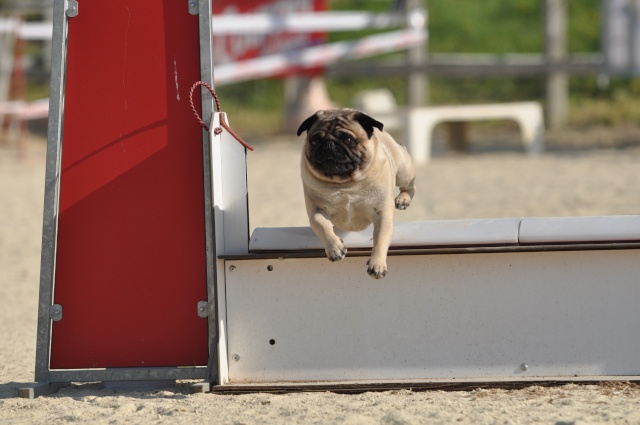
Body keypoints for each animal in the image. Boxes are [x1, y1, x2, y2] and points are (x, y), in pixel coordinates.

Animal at [296, 108, 416, 278]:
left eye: (347, 139)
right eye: (315, 140)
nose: (329, 144)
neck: (345, 184)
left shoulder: (382, 215)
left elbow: (381, 238)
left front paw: (377, 264)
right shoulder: (316, 210)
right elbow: (322, 225)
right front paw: (335, 248)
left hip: (403, 171)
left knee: (410, 186)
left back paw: (403, 199)